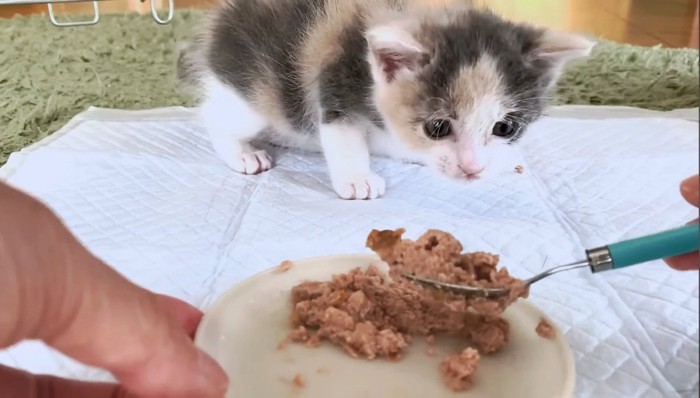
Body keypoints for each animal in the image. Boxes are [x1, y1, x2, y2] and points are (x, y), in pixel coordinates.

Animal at [178, 0, 592, 199]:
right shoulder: (336, 80)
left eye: (504, 128)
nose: (473, 168)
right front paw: (357, 180)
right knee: (214, 115)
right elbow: (342, 135)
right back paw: (242, 153)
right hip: (253, 95)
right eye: (437, 127)